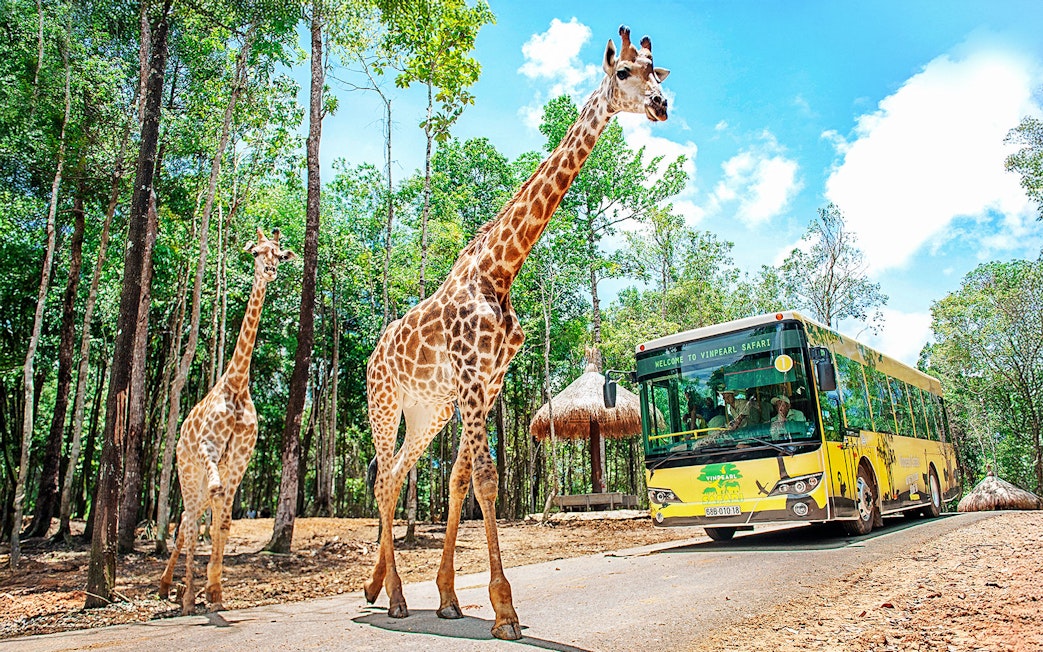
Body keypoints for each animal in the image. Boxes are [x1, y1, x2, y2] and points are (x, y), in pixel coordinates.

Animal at [159, 228, 295, 615]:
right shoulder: (210, 447)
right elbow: (212, 510)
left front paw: (216, 592)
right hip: (187, 470)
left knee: (190, 519)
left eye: (279, 254)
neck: (236, 384)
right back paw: (181, 595)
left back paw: (172, 588)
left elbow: (224, 522)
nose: (270, 271)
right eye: (256, 252)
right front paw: (198, 594)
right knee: (189, 521)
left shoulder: (239, 459)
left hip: (201, 477)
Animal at [363, 25, 669, 640]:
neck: (500, 269)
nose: (661, 105)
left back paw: (378, 589)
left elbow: (459, 479)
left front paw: (450, 597)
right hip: (385, 404)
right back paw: (396, 599)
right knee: (383, 478)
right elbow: (485, 477)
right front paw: (504, 610)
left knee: (397, 476)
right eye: (624, 72)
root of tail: (371, 357)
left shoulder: (488, 381)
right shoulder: (470, 375)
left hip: (427, 411)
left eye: (658, 68)